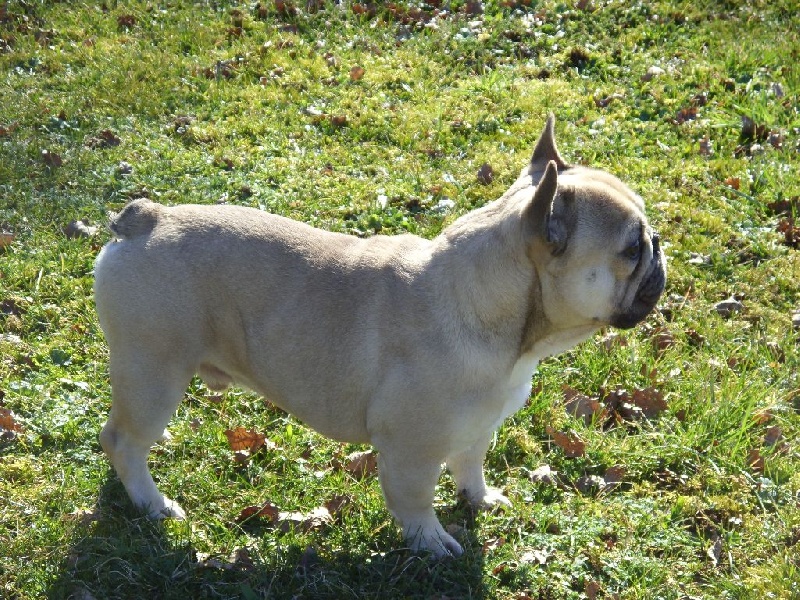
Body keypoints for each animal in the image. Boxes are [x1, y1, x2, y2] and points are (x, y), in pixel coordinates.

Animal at [94, 116, 664, 556]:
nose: (660, 246)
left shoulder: (478, 427)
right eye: (632, 248)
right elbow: (415, 502)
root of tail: (146, 220)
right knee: (123, 440)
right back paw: (152, 503)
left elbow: (471, 466)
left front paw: (480, 500)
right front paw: (431, 542)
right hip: (154, 370)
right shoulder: (411, 451)